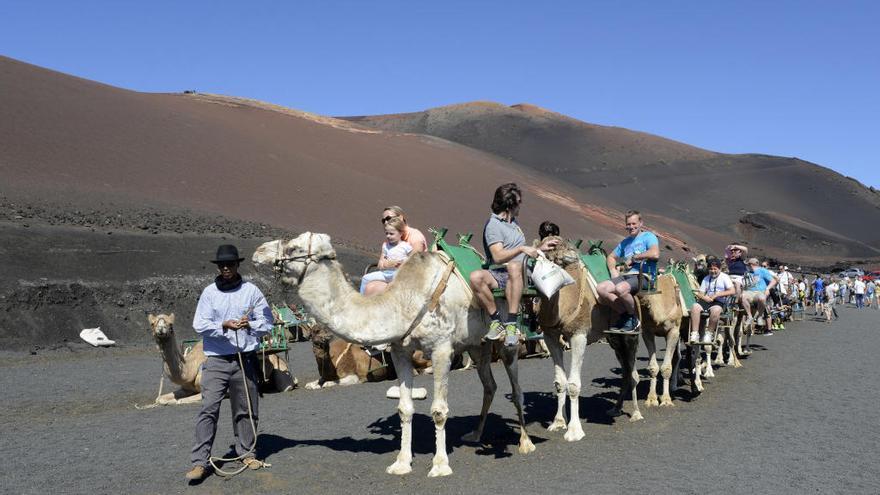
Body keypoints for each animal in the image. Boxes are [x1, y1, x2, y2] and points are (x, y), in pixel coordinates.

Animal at [141, 312, 296, 408]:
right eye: (152, 324)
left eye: (170, 325)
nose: (161, 330)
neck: (191, 368)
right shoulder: (186, 388)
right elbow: (160, 398)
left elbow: (179, 401)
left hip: (282, 371)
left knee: (287, 385)